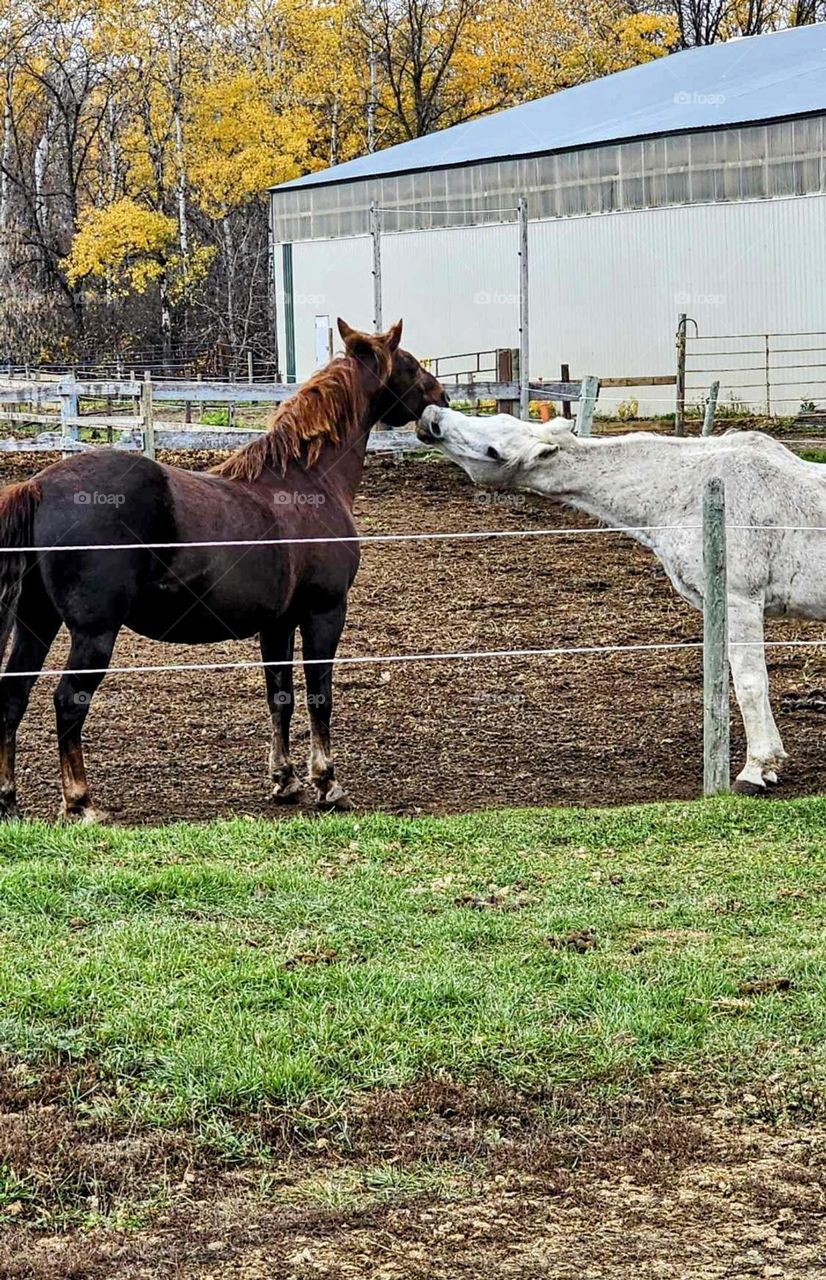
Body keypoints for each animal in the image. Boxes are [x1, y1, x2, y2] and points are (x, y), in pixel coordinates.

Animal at [0, 319, 447, 822]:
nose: (443, 398)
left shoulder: (277, 625)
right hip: (93, 635)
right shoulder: (324, 614)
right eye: (408, 363)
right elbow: (319, 697)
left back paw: (9, 799)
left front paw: (285, 780)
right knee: (67, 702)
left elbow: (281, 697)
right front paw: (327, 782)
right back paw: (82, 802)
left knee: (13, 695)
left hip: (37, 623)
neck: (307, 481)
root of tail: (37, 486)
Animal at [418, 403, 826, 796]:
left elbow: (750, 684)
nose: (430, 418)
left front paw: (755, 771)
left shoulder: (740, 600)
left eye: (494, 451)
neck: (690, 487)